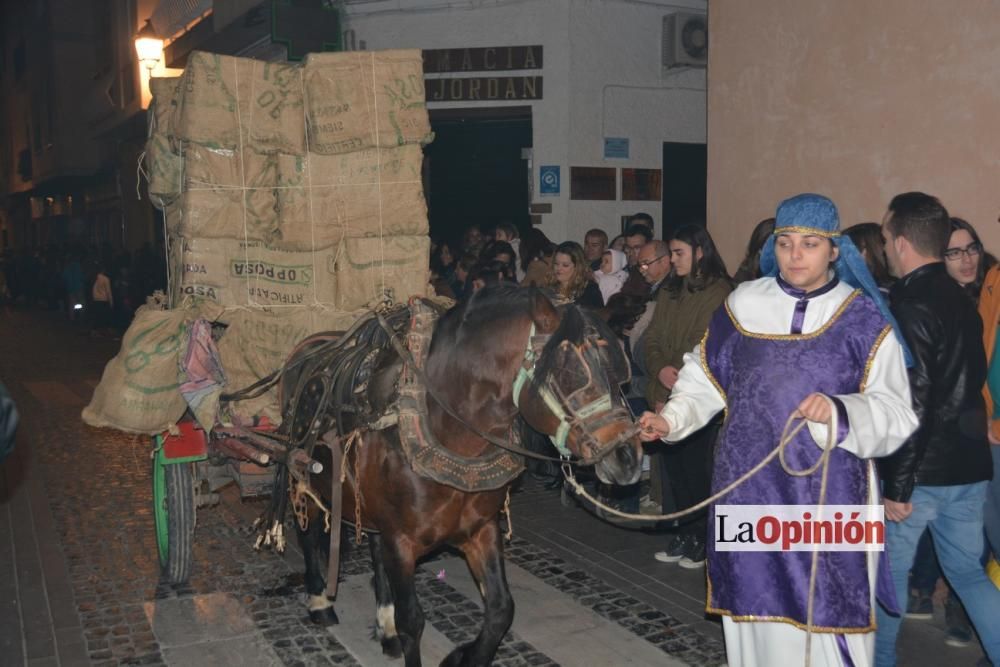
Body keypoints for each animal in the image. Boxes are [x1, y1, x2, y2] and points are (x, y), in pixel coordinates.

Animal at [274, 288, 640, 667]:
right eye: (568, 373)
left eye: (618, 375)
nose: (629, 457)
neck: (450, 433)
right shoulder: (401, 542)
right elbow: (412, 622)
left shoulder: (480, 530)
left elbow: (501, 610)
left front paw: (463, 654)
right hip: (303, 476)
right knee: (308, 531)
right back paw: (319, 602)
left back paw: (384, 629)